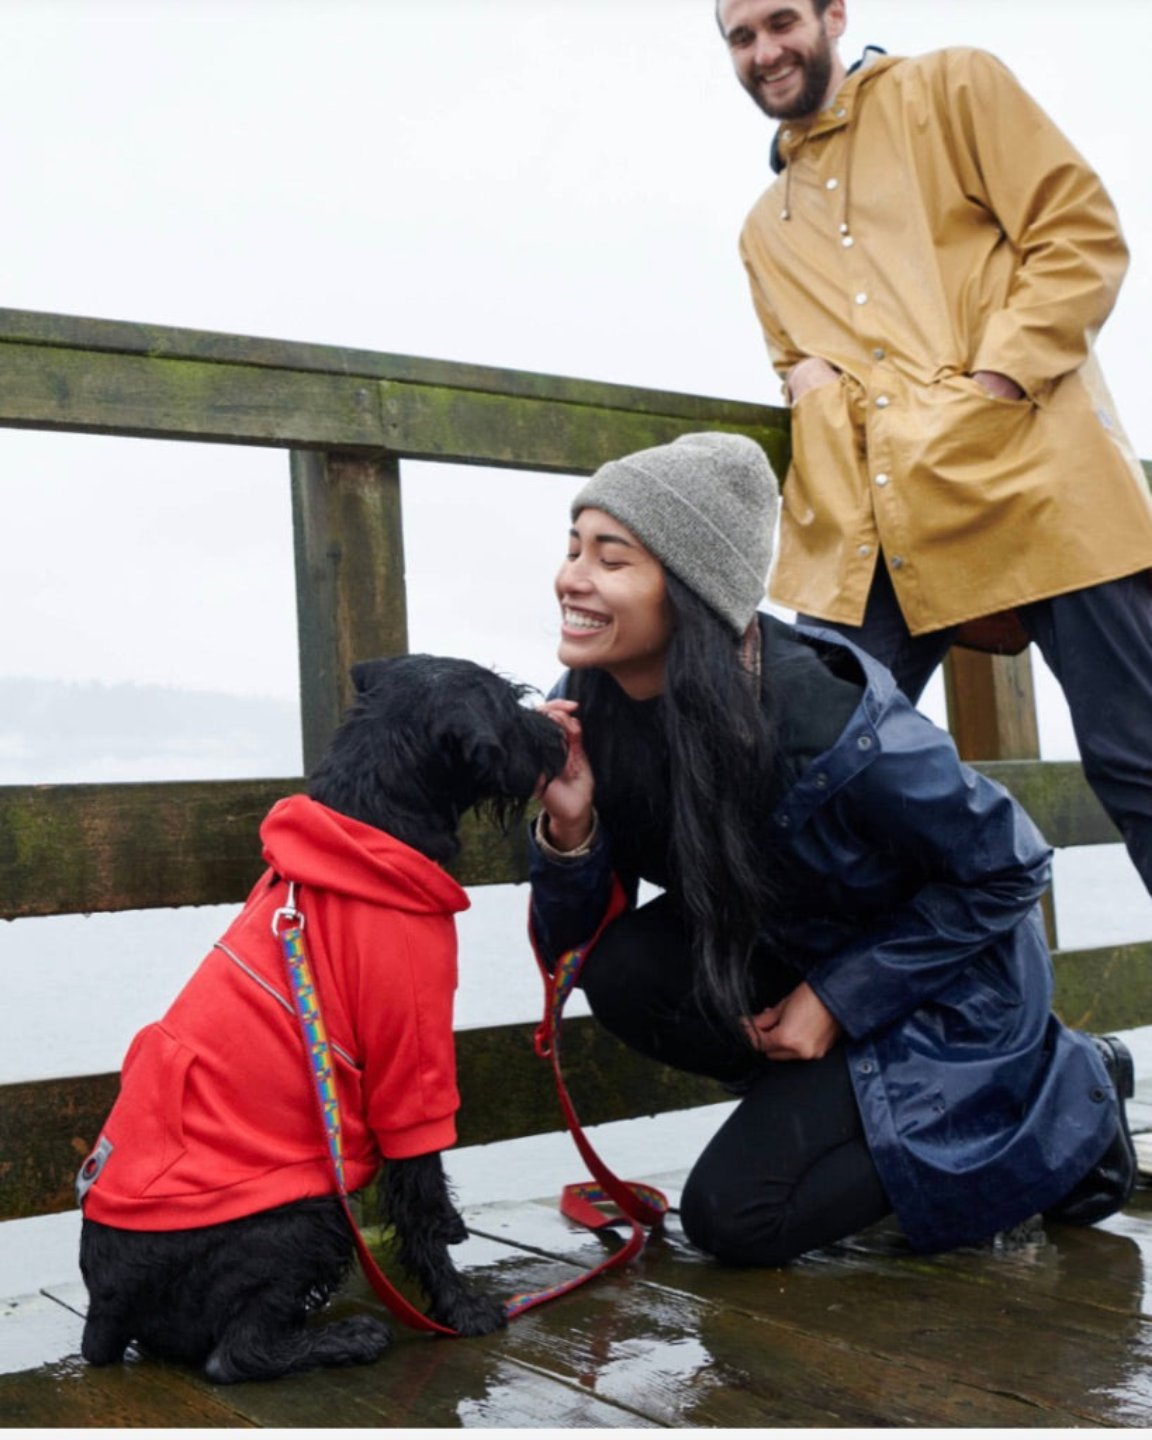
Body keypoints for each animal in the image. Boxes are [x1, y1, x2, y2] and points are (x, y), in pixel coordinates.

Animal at [78, 656, 570, 1382]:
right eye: (509, 703)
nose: (562, 735)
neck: (371, 824)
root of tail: (103, 1311)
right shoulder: (411, 1059)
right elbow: (421, 1193)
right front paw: (461, 1308)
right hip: (307, 1217)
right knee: (233, 1354)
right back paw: (349, 1339)